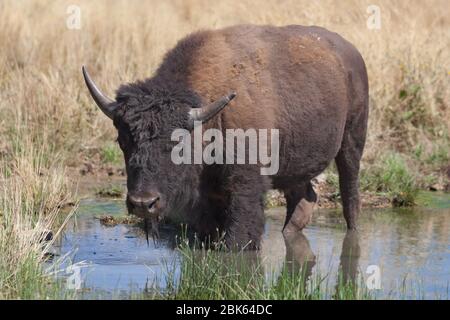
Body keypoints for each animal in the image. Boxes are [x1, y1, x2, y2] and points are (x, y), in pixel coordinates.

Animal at [82, 25, 368, 250]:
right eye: (123, 141)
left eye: (178, 144)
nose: (143, 203)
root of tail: (351, 53)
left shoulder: (246, 188)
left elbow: (239, 238)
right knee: (304, 197)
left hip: (352, 142)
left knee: (350, 197)